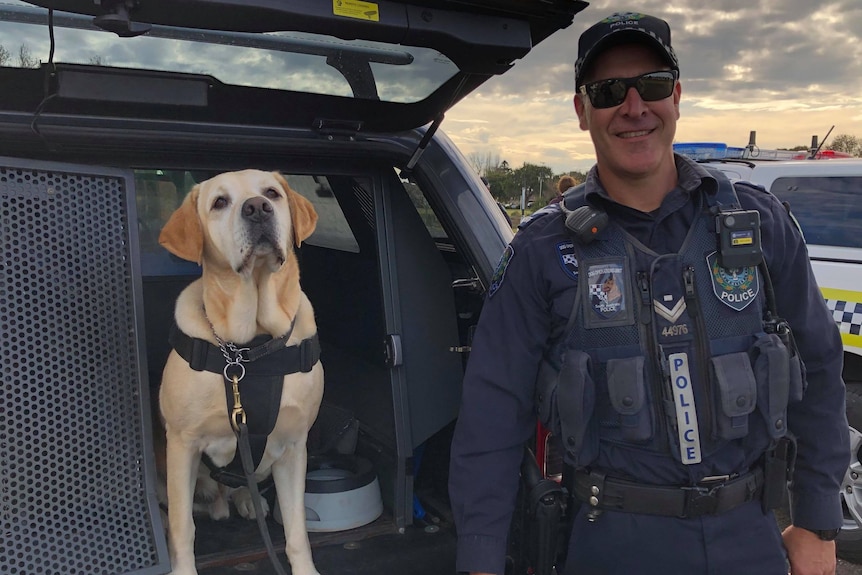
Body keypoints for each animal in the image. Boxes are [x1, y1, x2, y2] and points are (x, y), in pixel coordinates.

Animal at [158, 169, 324, 572]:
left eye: (272, 193)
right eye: (220, 202)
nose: (257, 208)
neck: (249, 347)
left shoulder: (294, 445)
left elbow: (296, 529)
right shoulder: (183, 443)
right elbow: (183, 528)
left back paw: (248, 500)